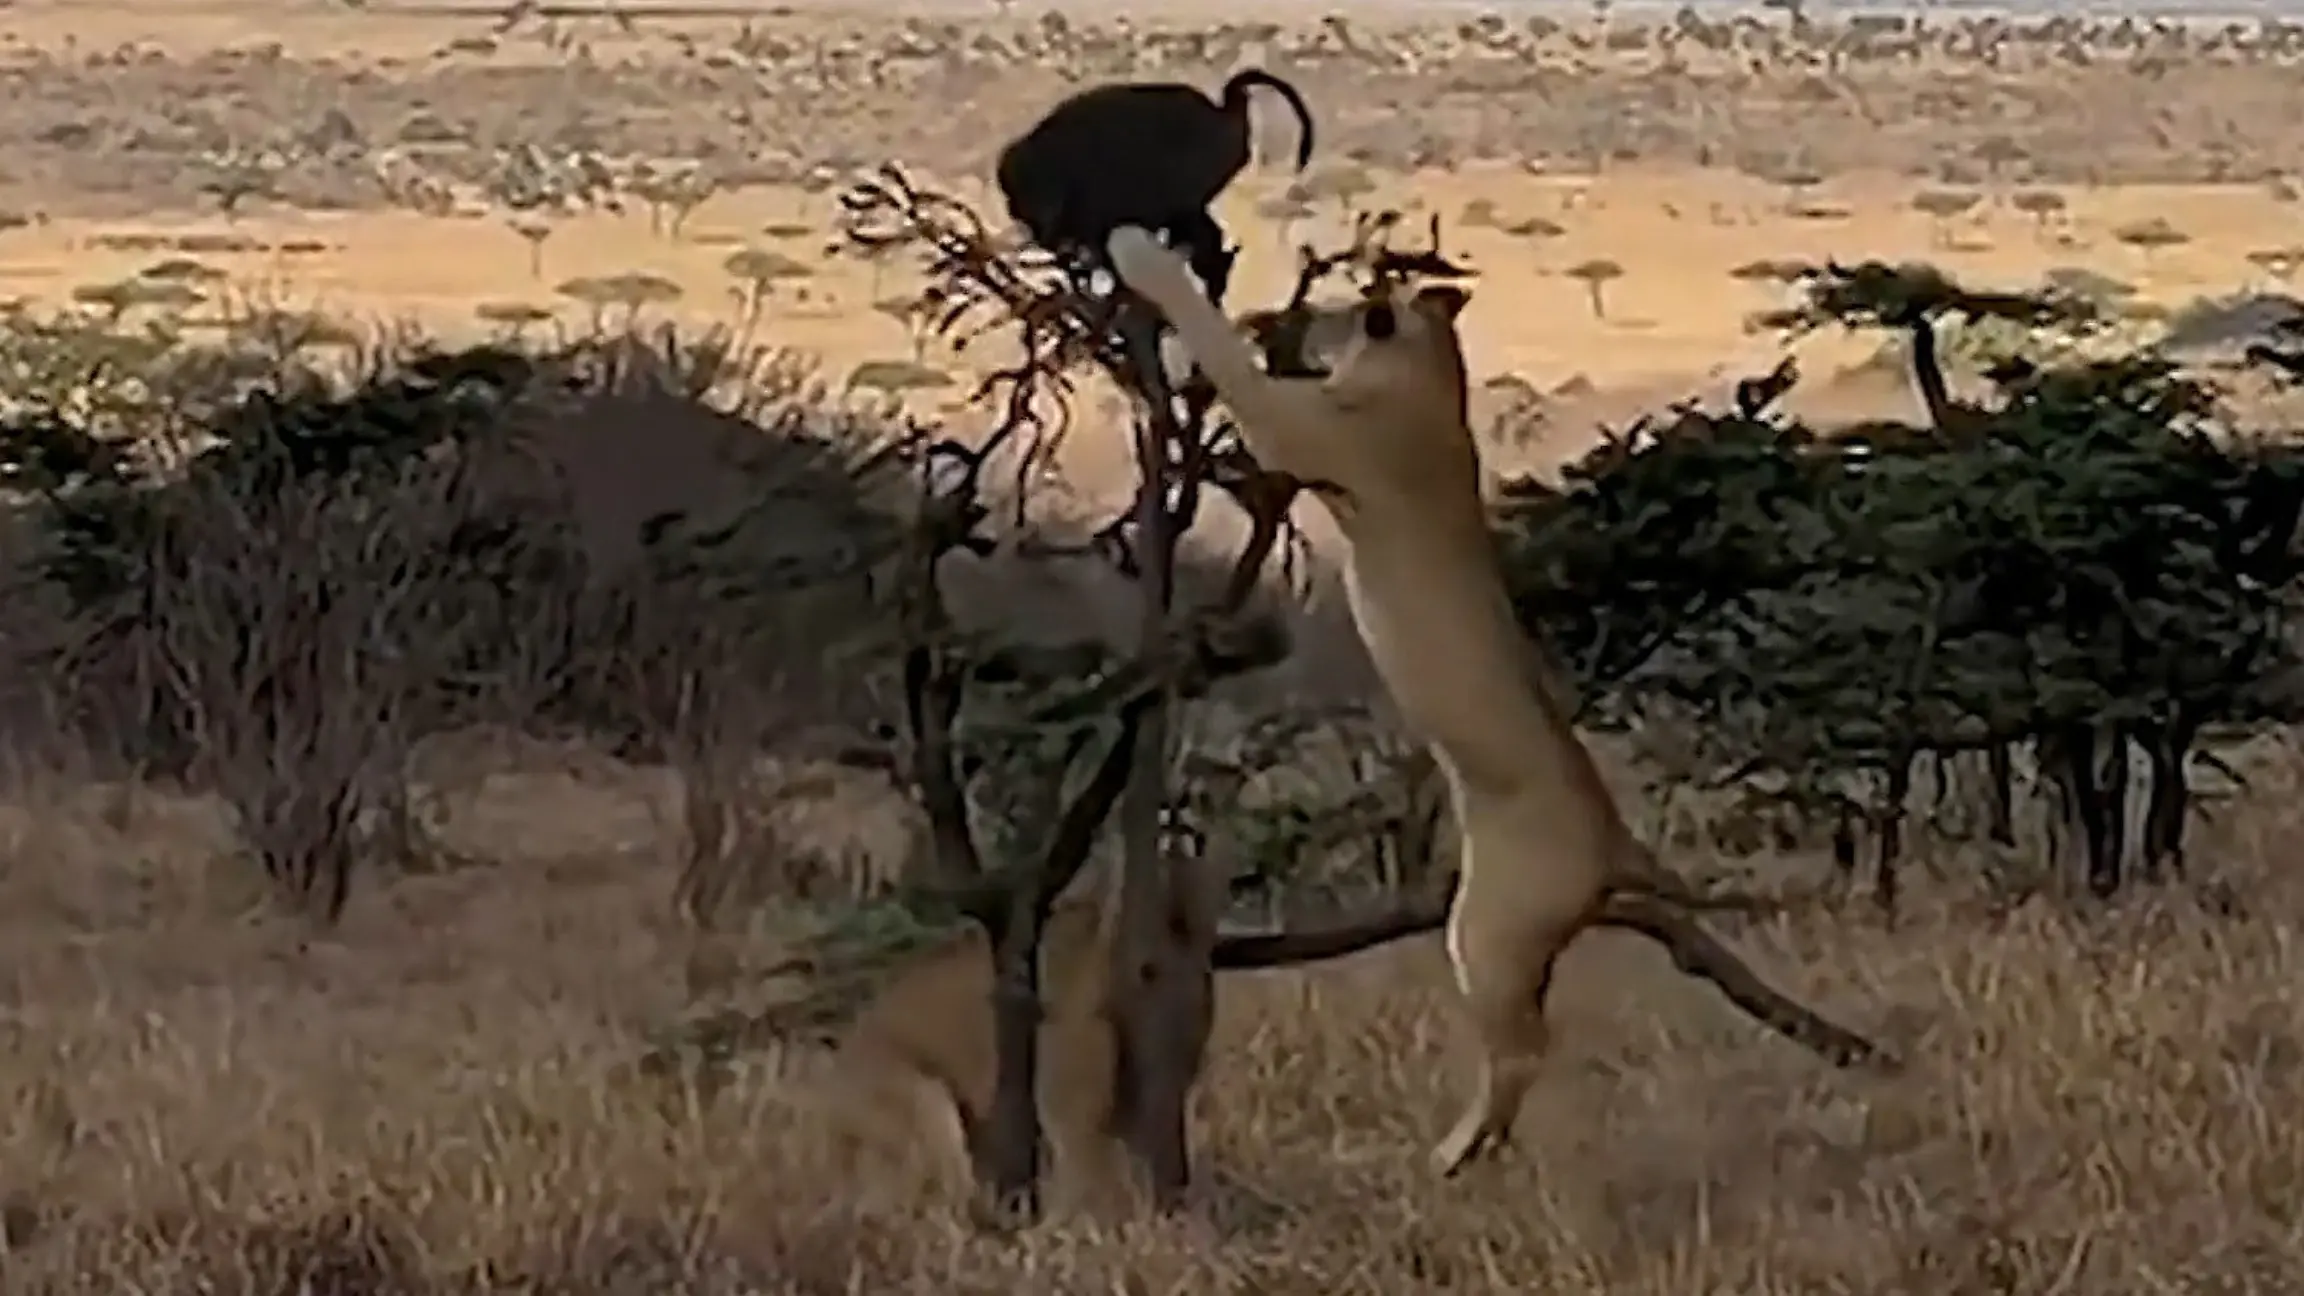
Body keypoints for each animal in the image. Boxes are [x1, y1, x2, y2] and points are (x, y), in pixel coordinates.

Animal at [1104, 224, 1891, 1177]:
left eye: (1348, 309)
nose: (1300, 323)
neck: (1429, 377)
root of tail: (1615, 844)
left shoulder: (1302, 428)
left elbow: (1217, 344)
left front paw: (1145, 260)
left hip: (1486, 932)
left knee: (1524, 1049)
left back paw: (1449, 1153)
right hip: (1510, 936)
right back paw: (1465, 1148)